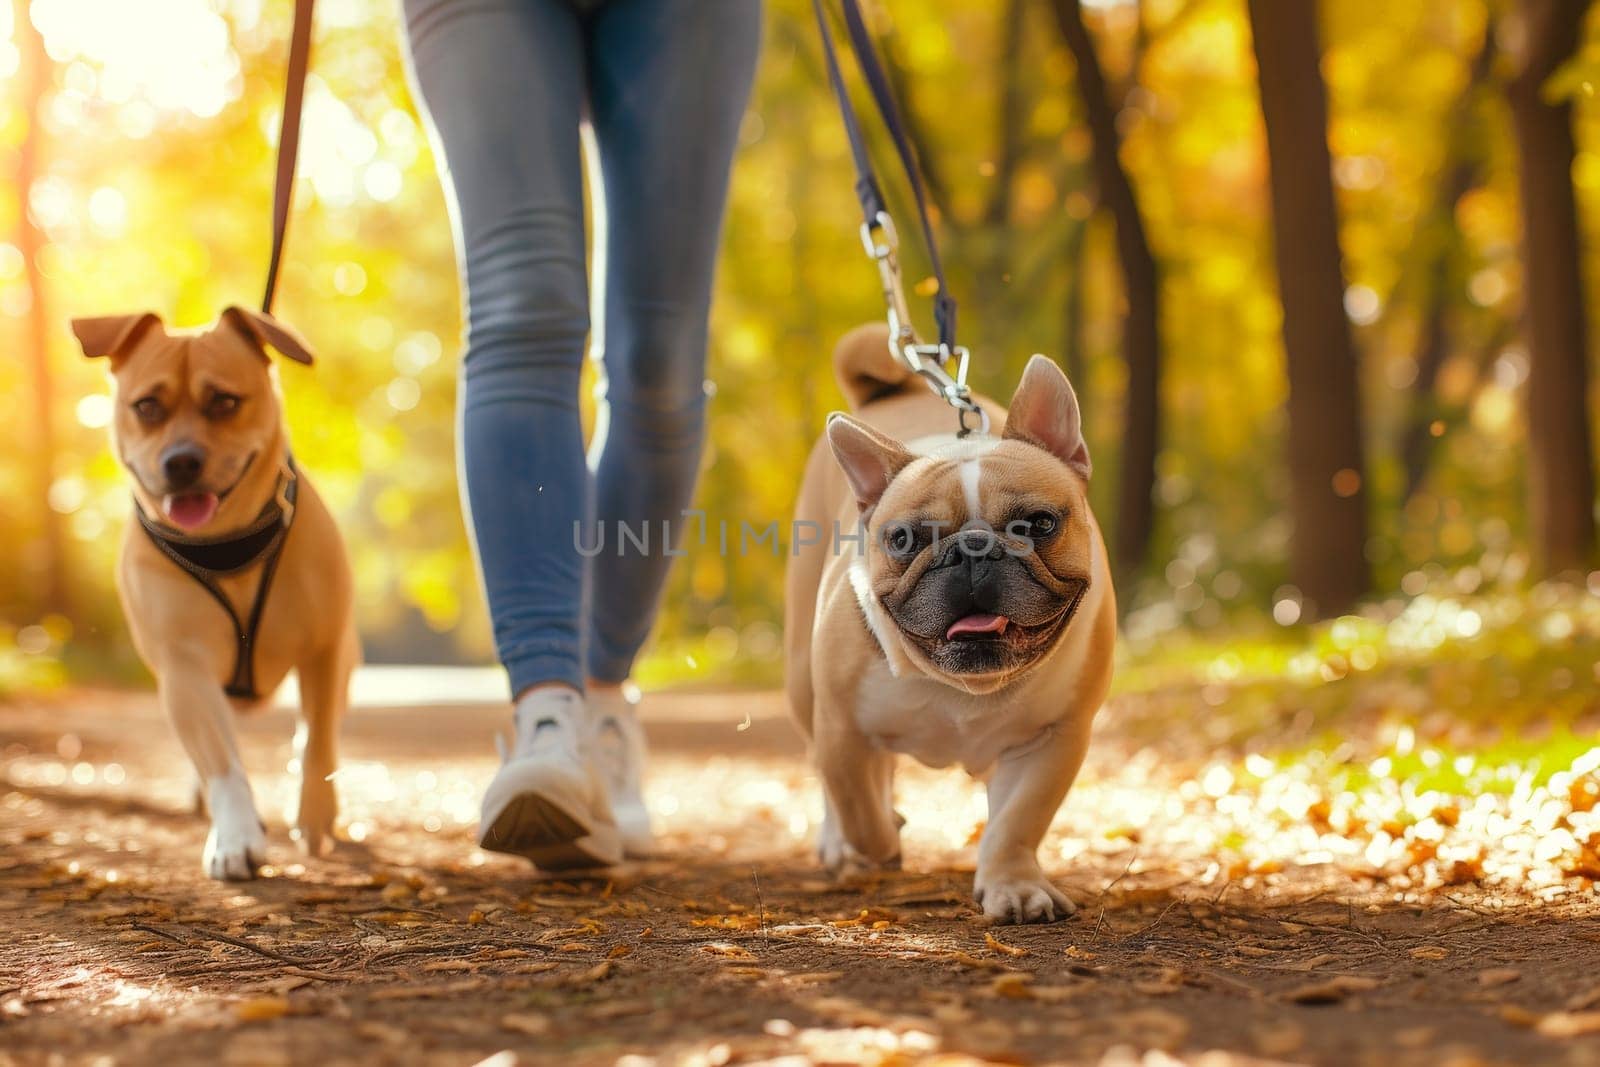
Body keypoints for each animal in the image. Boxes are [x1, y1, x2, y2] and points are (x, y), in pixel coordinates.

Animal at [72, 308, 360, 883]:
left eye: (224, 402)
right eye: (148, 406)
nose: (181, 461)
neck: (227, 544)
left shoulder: (324, 648)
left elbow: (318, 742)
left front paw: (314, 816)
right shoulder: (183, 667)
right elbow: (221, 762)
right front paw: (237, 836)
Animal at [784, 323, 1113, 921]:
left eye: (1040, 524)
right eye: (902, 538)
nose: (973, 548)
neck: (965, 688)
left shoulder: (1053, 739)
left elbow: (1017, 822)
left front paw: (1014, 885)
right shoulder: (842, 730)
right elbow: (860, 811)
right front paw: (871, 845)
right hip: (803, 687)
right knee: (831, 778)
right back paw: (840, 842)